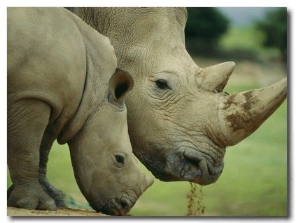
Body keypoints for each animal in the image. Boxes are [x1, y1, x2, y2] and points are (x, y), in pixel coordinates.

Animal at [7, 7, 154, 215]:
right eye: (119, 159)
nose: (124, 207)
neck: (95, 91)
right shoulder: (32, 94)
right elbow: (28, 149)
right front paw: (36, 205)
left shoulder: (55, 101)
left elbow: (42, 149)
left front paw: (49, 201)